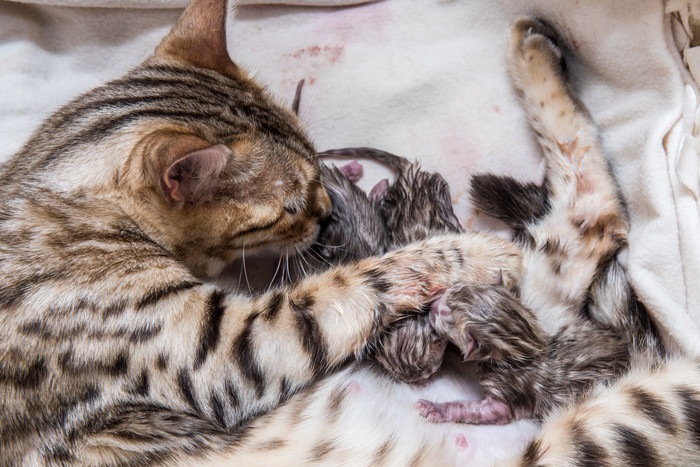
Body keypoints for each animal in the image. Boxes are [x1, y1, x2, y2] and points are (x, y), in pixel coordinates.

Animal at [0, 0, 520, 466]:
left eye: (314, 164)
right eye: (288, 208)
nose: (327, 211)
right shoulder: (230, 351)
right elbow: (361, 282)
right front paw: (476, 252)